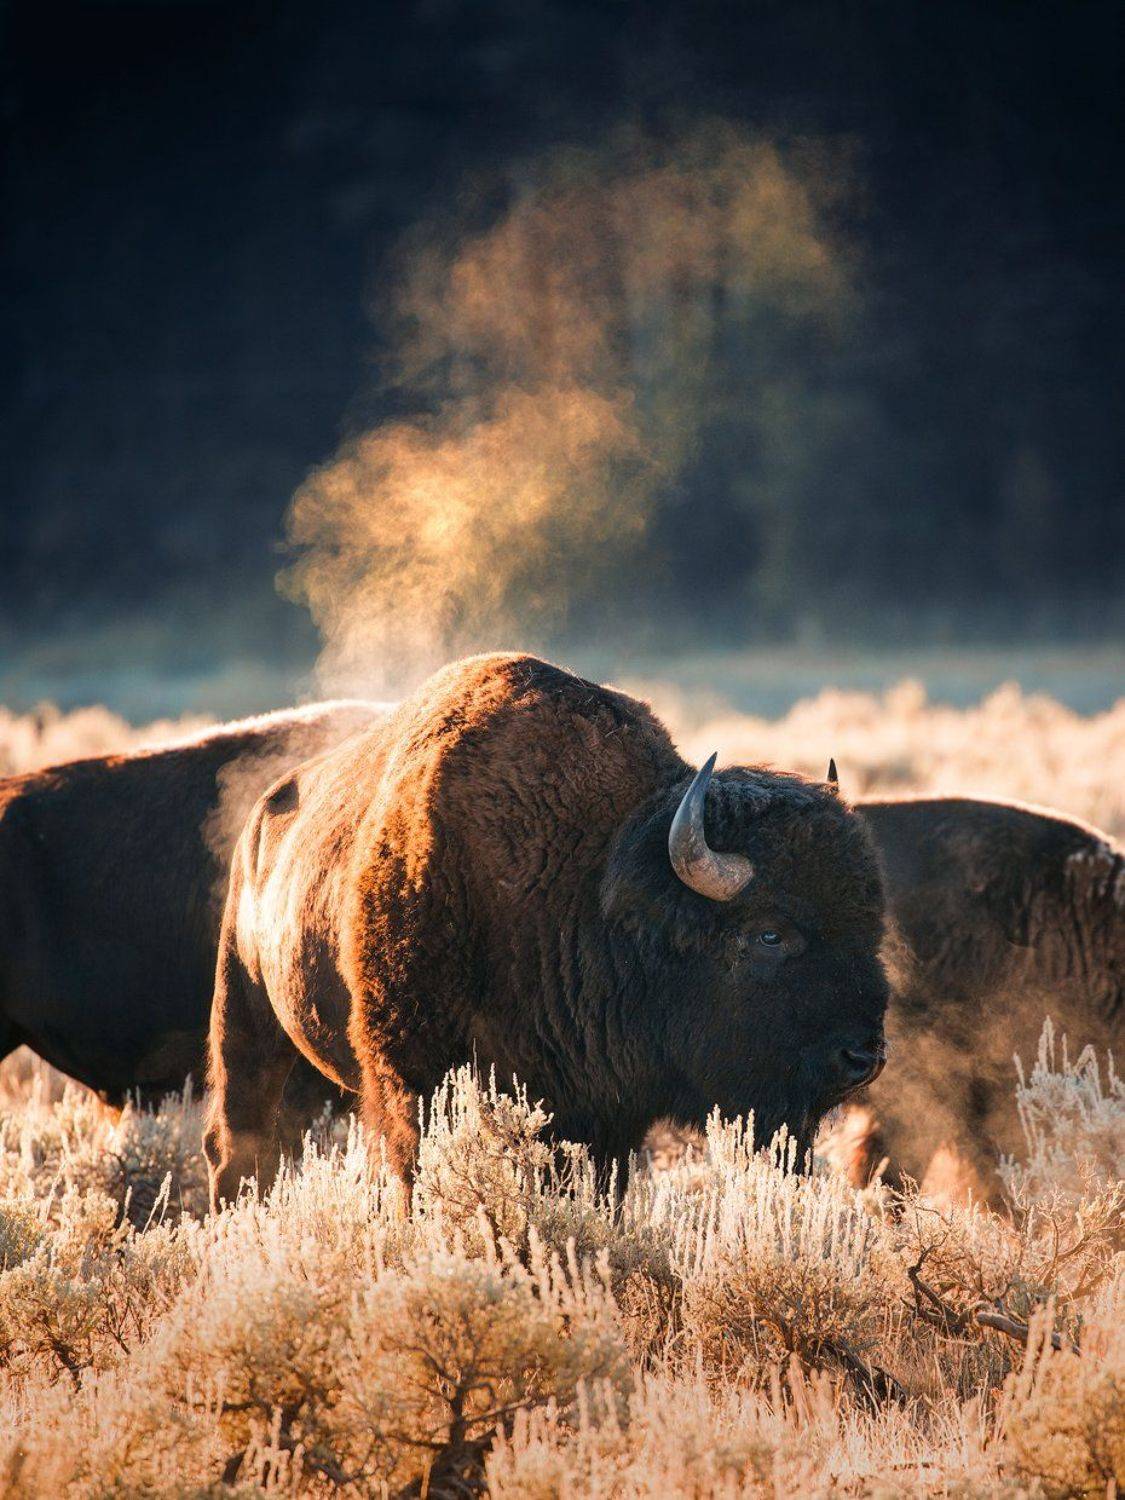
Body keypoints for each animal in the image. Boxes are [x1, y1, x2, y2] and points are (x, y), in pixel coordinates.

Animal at [204, 652, 889, 1204]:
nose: (863, 1056)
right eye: (768, 935)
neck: (588, 880)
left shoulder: (601, 1114)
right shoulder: (411, 1085)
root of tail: (261, 817)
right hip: (246, 1023)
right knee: (238, 1145)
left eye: (870, 927)